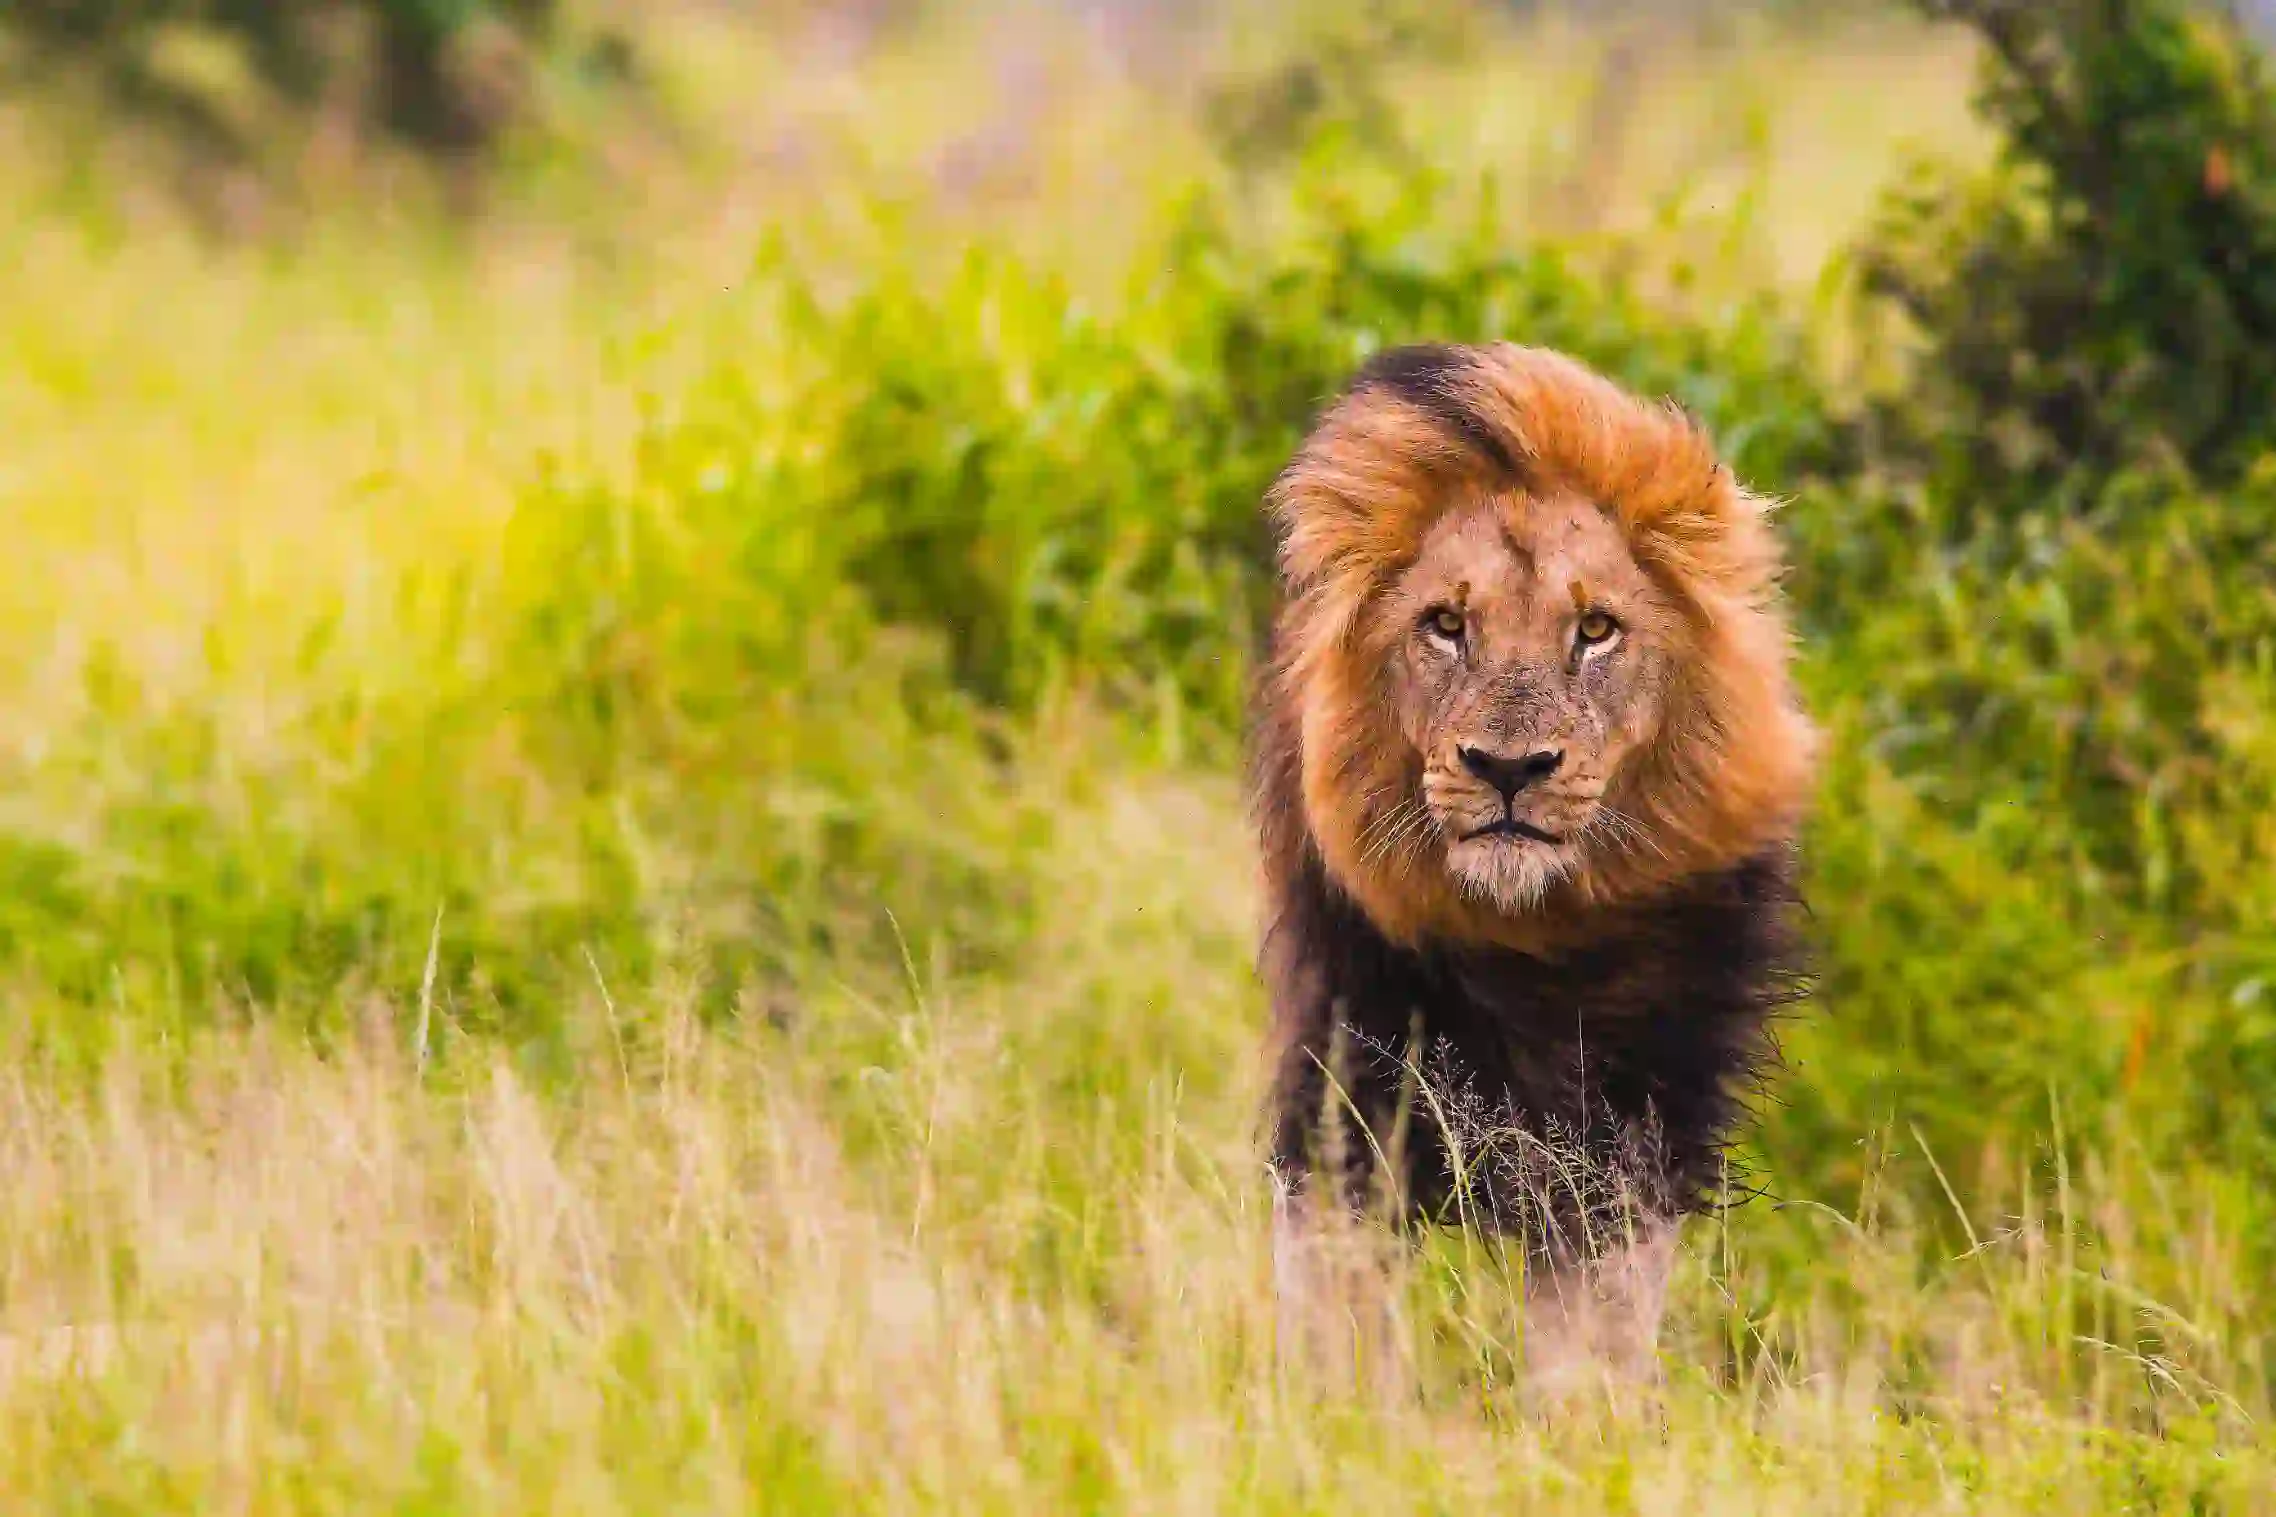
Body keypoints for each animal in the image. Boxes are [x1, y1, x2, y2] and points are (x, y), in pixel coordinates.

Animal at [1247, 341, 1811, 1391]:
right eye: (1444, 624)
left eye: (1594, 630)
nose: (1508, 768)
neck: (1531, 944)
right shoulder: (1348, 1083)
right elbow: (1338, 1303)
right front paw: (1339, 1407)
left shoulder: (1633, 1129)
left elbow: (1591, 1334)